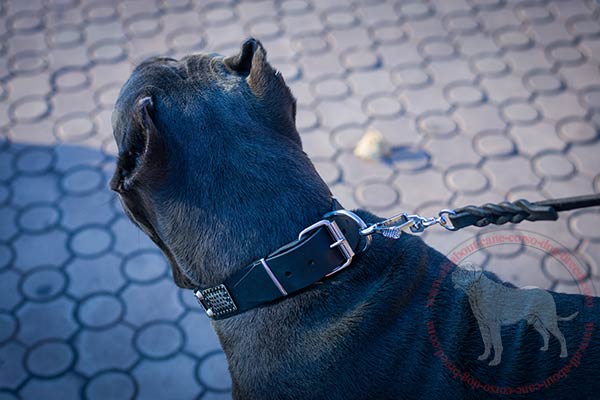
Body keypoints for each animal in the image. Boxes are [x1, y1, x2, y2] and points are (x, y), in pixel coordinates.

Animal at [452, 266, 580, 366]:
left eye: (465, 271)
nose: (453, 273)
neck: (475, 292)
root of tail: (548, 294)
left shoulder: (494, 326)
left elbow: (497, 344)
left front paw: (496, 362)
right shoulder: (482, 325)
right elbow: (486, 342)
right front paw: (484, 356)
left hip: (548, 321)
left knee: (561, 337)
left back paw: (563, 354)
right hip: (537, 323)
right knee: (546, 335)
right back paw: (545, 348)